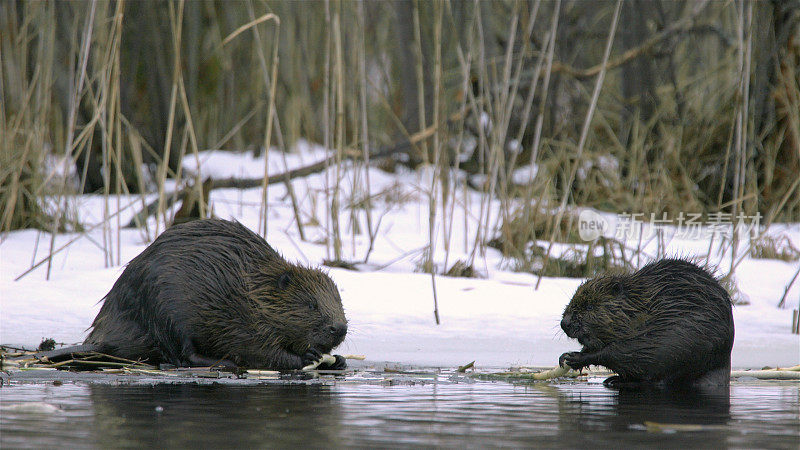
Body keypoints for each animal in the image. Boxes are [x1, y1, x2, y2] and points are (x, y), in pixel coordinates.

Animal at [83, 218, 348, 370]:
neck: (253, 288)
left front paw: (338, 360)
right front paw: (307, 356)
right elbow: (260, 350)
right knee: (184, 354)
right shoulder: (243, 322)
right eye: (311, 304)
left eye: (340, 302)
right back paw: (227, 363)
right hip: (164, 311)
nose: (339, 328)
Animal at [560, 258, 736, 388]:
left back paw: (614, 381)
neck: (636, 311)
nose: (564, 323)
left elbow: (617, 353)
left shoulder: (649, 337)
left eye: (589, 306)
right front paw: (565, 357)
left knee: (658, 381)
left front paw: (575, 358)